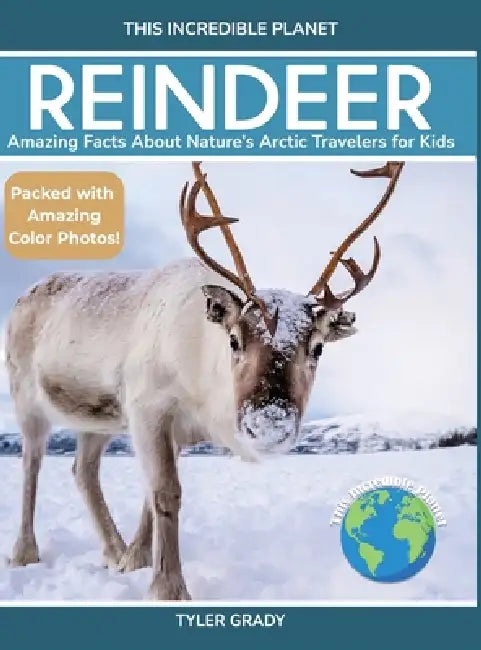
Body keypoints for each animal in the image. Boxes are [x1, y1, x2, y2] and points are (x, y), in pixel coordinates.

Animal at [5, 160, 404, 600]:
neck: (201, 390)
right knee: (31, 464)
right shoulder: (147, 409)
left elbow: (150, 495)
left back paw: (114, 550)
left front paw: (136, 560)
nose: (269, 424)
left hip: (97, 418)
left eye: (317, 347)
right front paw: (167, 587)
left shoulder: (173, 431)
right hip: (26, 398)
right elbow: (166, 492)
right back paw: (25, 552)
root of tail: (23, 296)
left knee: (83, 470)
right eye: (234, 339)